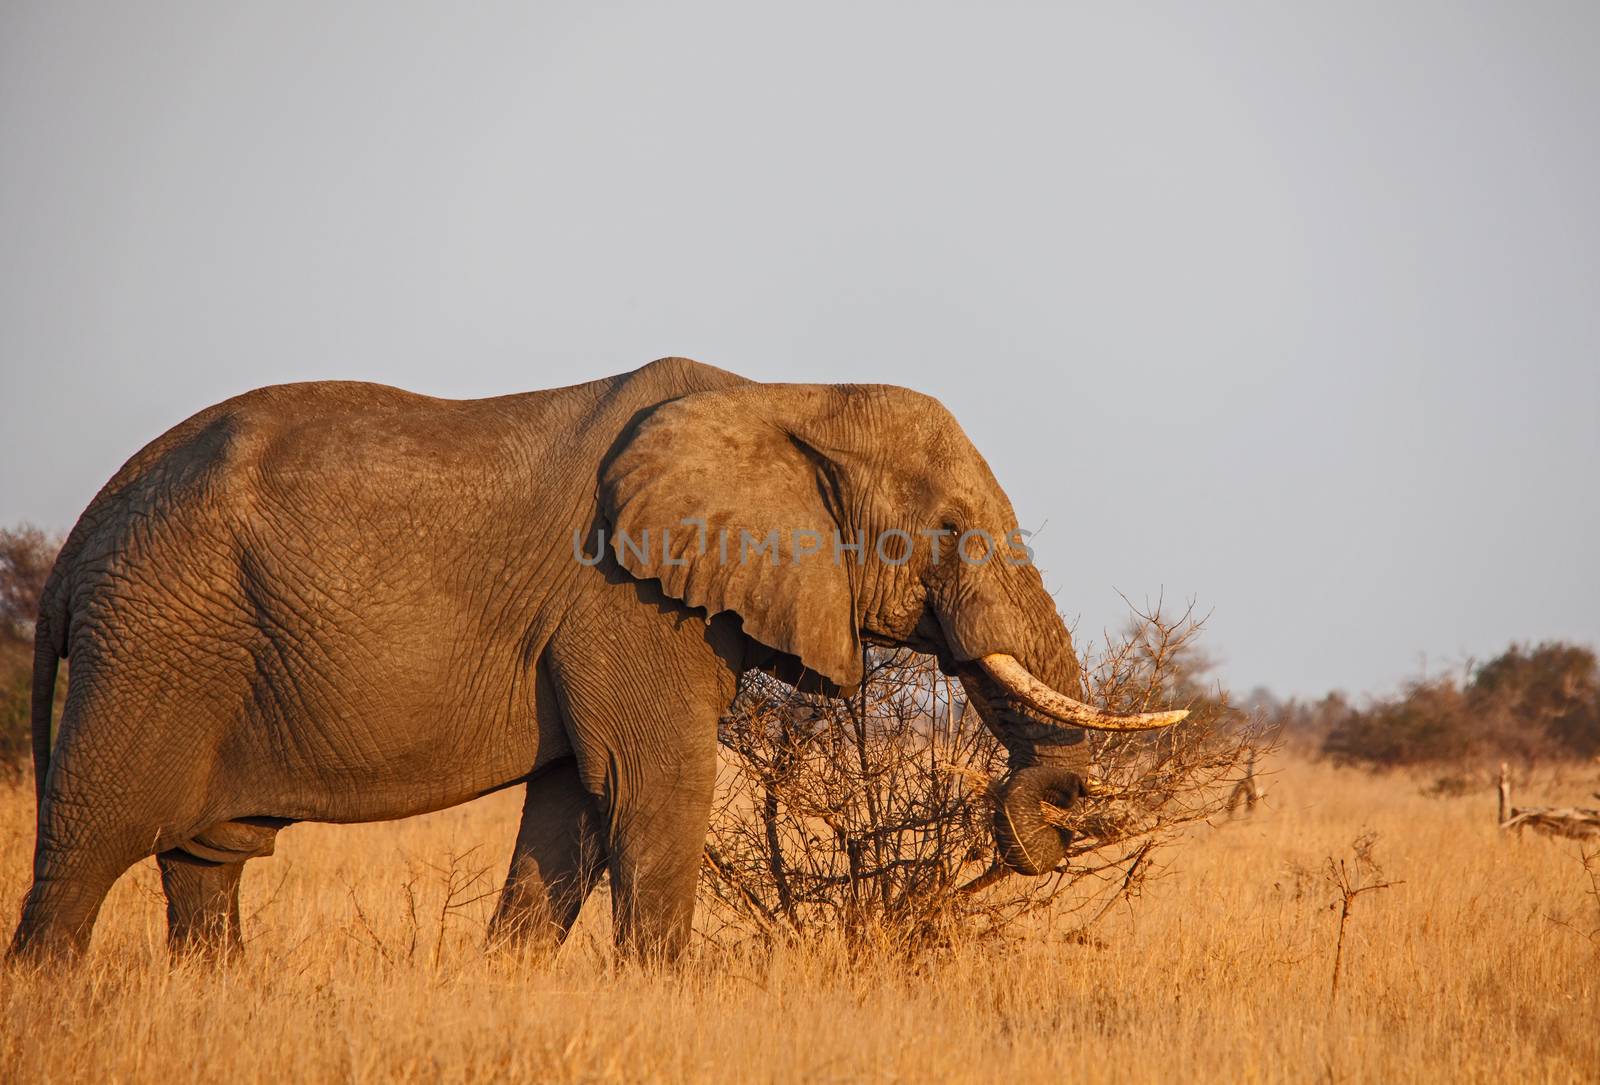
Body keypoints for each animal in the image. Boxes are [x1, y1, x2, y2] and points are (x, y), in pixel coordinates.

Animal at [9, 361, 1190, 966]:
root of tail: (78, 539)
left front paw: (505, 985)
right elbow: (656, 782)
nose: (1056, 815)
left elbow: (574, 805)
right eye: (946, 528)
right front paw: (668, 993)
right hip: (158, 636)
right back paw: (52, 992)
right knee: (93, 837)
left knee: (206, 858)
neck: (782, 393)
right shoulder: (622, 597)